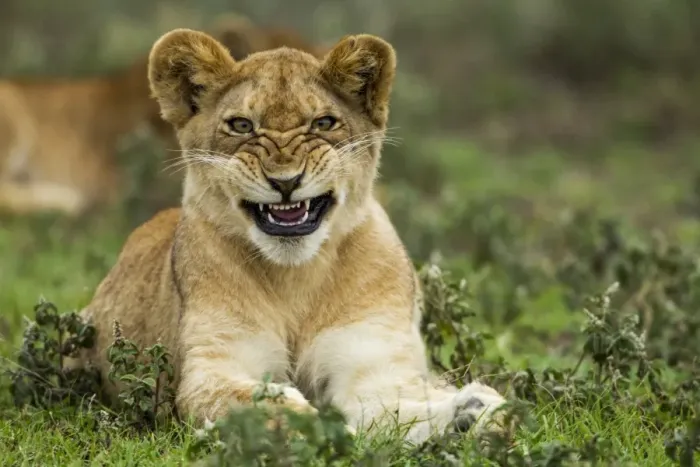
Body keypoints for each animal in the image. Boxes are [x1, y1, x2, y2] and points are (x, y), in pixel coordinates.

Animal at [70, 28, 510, 444]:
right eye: (242, 125)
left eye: (323, 123)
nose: (285, 182)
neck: (294, 276)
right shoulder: (212, 367)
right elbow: (262, 404)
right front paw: (323, 431)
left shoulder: (371, 363)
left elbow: (397, 409)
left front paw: (473, 412)